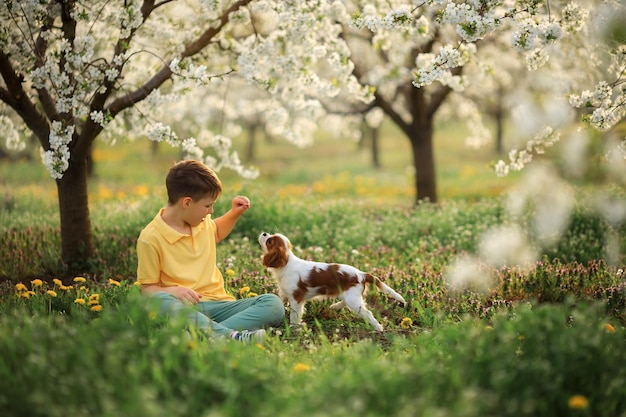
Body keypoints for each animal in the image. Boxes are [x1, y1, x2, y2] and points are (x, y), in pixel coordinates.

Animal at [258, 231, 404, 332]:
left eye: (269, 241)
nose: (264, 233)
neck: (286, 263)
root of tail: (361, 274)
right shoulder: (284, 292)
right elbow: (280, 300)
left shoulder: (296, 299)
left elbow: (294, 315)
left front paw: (293, 328)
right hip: (350, 295)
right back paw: (335, 306)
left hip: (352, 299)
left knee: (367, 312)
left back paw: (378, 328)